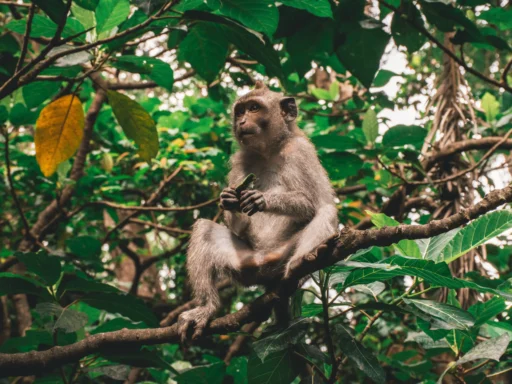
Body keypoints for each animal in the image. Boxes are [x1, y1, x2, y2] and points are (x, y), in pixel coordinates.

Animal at [177, 82, 340, 340]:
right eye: (240, 111)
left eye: (254, 108)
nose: (242, 121)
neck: (269, 151)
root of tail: (267, 264)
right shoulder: (239, 160)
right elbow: (238, 226)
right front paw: (229, 199)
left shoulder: (300, 151)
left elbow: (315, 204)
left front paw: (262, 199)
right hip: (246, 264)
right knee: (204, 229)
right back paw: (206, 308)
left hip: (283, 255)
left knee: (326, 212)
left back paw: (302, 262)